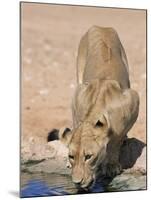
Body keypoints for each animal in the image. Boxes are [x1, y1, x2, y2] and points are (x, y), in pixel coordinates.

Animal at [48, 26, 139, 189]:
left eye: (88, 157)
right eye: (71, 156)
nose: (77, 183)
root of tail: (101, 26)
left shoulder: (133, 99)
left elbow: (116, 140)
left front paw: (111, 165)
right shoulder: (77, 94)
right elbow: (74, 126)